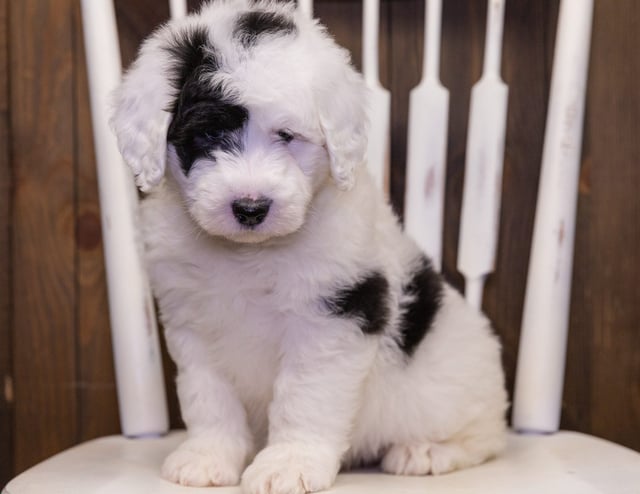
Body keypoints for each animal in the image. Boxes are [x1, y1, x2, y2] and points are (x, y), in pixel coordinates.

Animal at [111, 1, 510, 492]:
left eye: (287, 136)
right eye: (208, 135)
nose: (250, 207)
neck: (250, 251)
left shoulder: (332, 315)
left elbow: (305, 395)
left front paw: (289, 463)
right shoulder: (192, 322)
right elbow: (208, 395)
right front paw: (208, 457)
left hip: (452, 386)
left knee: (485, 436)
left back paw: (426, 451)